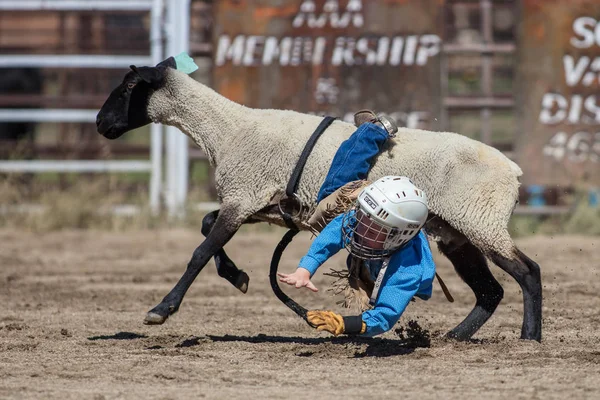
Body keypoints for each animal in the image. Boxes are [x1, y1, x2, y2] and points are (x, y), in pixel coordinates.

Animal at [96, 56, 540, 342]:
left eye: (130, 87)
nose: (100, 123)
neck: (227, 130)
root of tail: (514, 170)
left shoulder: (244, 195)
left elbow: (200, 252)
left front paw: (161, 310)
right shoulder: (260, 204)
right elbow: (207, 229)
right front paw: (238, 277)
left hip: (481, 220)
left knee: (527, 271)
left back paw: (529, 336)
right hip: (456, 231)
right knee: (491, 291)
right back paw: (456, 335)